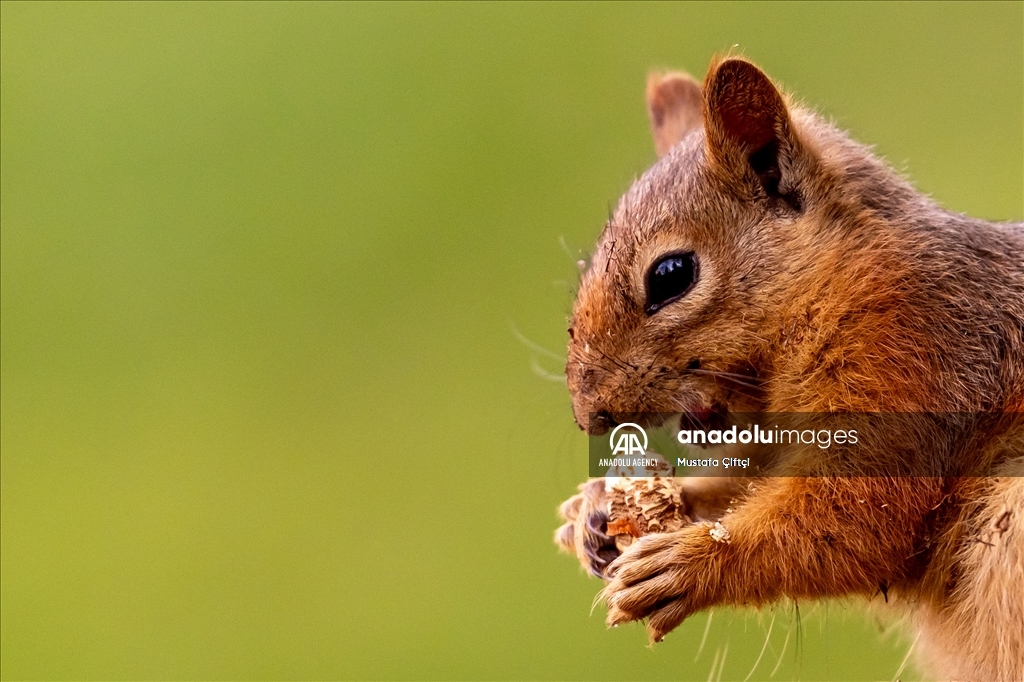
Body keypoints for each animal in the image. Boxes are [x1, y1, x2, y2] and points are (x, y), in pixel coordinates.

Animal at [557, 58, 1019, 679]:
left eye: (671, 274)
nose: (591, 416)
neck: (841, 280)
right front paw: (595, 511)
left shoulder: (917, 359)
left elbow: (857, 521)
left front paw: (691, 562)